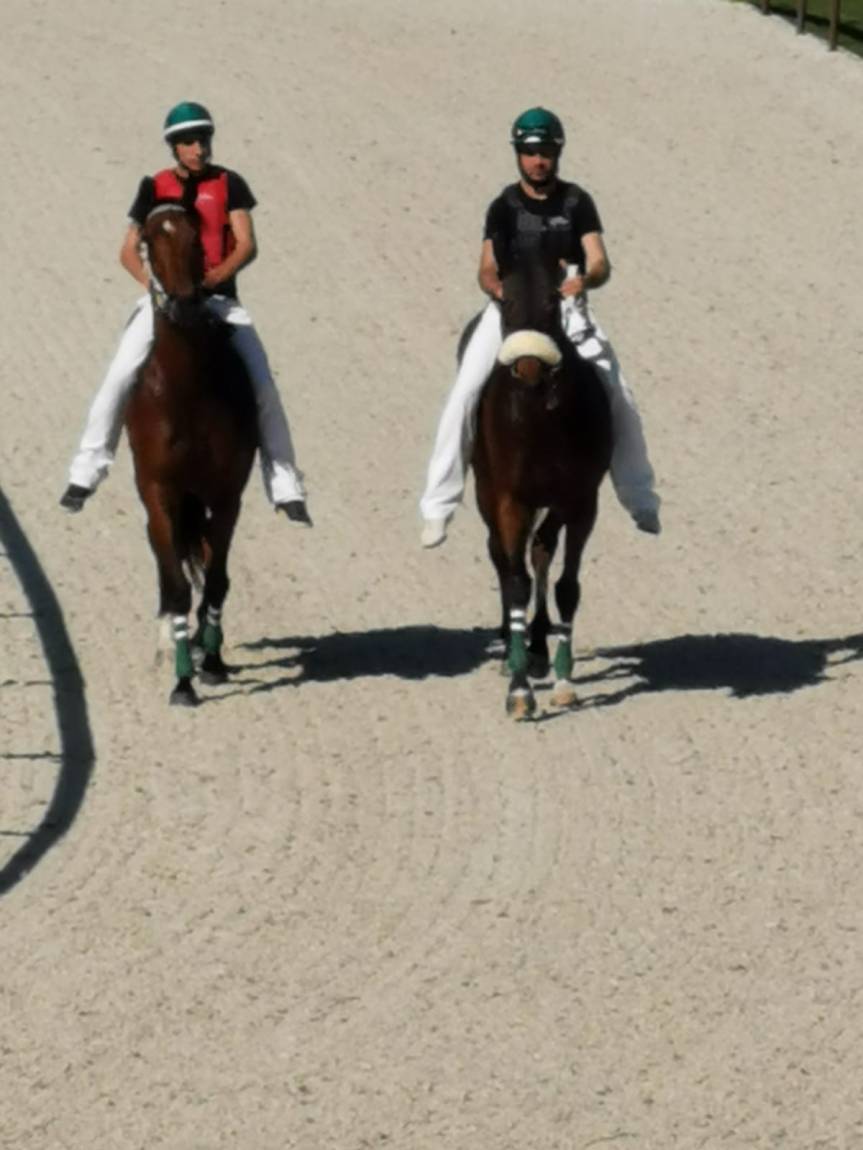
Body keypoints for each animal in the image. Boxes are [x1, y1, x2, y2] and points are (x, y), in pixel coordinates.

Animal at [125, 202, 258, 706]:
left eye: (196, 238)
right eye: (147, 240)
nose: (182, 305)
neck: (189, 392)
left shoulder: (226, 492)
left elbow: (217, 577)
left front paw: (213, 658)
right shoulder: (159, 488)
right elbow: (179, 586)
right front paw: (182, 680)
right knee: (168, 564)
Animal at [471, 256, 613, 719]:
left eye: (554, 302)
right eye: (508, 301)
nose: (530, 366)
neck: (540, 418)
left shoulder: (581, 500)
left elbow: (566, 583)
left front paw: (563, 679)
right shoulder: (511, 499)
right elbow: (515, 579)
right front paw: (518, 690)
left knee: (540, 550)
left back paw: (536, 647)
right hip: (486, 490)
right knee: (501, 555)